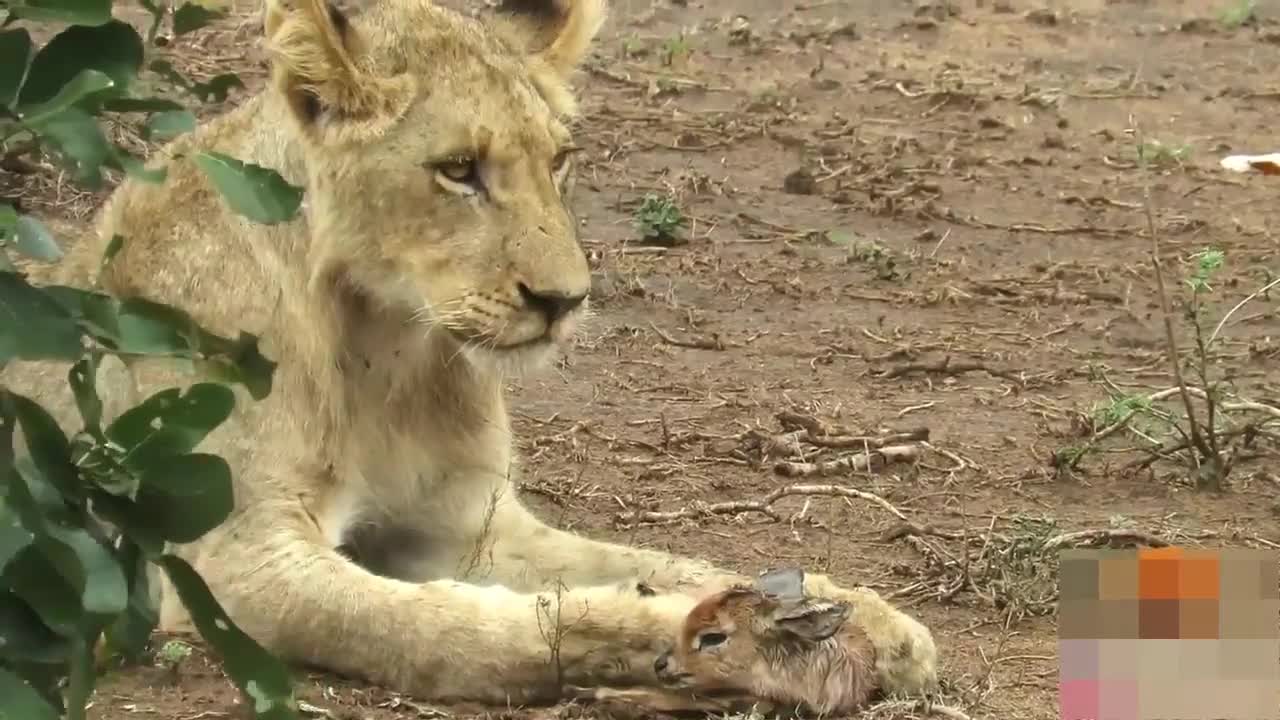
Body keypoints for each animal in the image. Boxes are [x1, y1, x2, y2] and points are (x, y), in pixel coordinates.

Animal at [2, 0, 942, 702]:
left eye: (559, 160)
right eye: (457, 170)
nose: (564, 302)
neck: (385, 343)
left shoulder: (468, 523)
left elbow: (657, 560)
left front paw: (863, 616)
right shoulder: (239, 564)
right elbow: (466, 627)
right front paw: (713, 635)